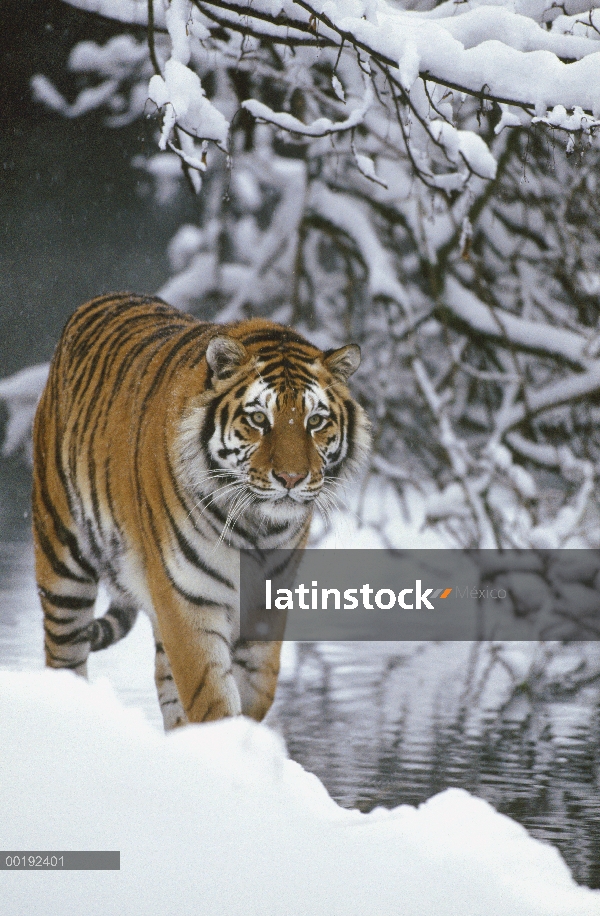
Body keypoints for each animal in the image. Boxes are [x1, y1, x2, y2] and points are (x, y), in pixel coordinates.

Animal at [34, 294, 370, 728]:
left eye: (315, 421)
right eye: (258, 419)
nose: (291, 477)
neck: (257, 528)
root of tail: (98, 300)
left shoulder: (265, 605)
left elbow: (255, 691)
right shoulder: (187, 600)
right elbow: (212, 698)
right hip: (62, 564)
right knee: (64, 658)